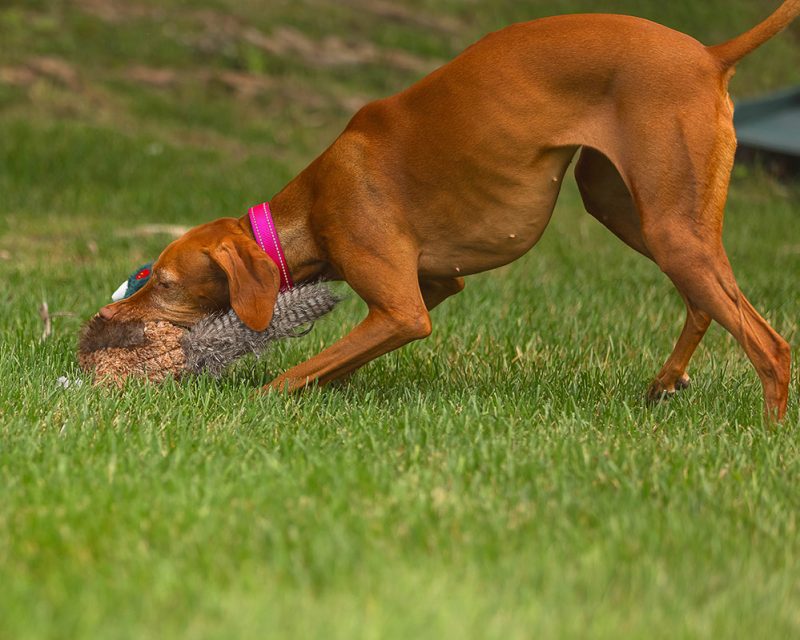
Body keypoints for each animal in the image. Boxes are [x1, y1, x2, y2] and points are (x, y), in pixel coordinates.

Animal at [100, 2, 800, 420]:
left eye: (163, 282)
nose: (107, 317)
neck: (309, 208)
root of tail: (710, 55)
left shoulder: (404, 311)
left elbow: (296, 373)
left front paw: (250, 405)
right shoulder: (434, 286)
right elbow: (336, 361)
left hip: (668, 226)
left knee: (770, 345)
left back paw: (765, 441)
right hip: (633, 211)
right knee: (707, 302)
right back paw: (666, 381)